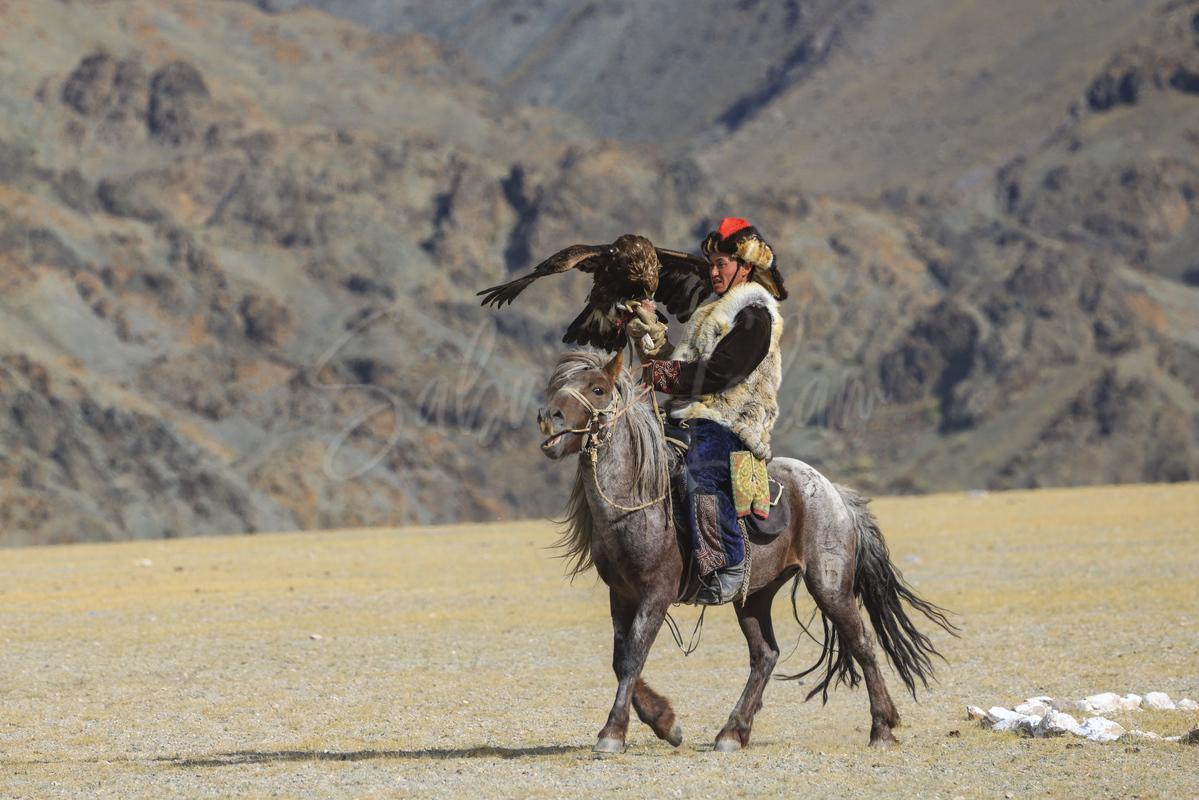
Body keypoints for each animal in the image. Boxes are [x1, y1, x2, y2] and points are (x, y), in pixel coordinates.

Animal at [536, 348, 957, 753]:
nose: (548, 419)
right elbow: (621, 659)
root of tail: (836, 494)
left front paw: (613, 733)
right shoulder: (621, 594)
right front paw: (666, 723)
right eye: (557, 385)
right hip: (754, 595)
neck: (639, 500)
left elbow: (632, 658)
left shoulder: (656, 593)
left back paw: (881, 728)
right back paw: (733, 732)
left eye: (597, 389)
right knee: (765, 655)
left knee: (862, 644)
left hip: (829, 585)